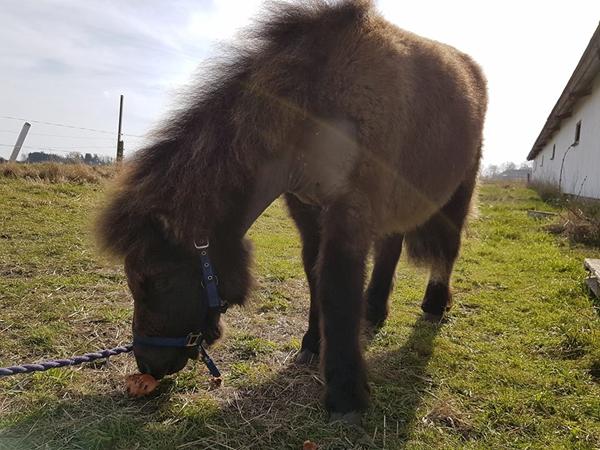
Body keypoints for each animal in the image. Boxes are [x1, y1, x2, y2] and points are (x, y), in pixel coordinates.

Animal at [95, 0, 488, 424]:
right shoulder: (307, 210)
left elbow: (336, 286)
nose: (147, 363)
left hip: (459, 189)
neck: (314, 110)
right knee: (391, 247)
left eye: (158, 281)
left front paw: (346, 394)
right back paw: (374, 310)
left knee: (448, 247)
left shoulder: (350, 211)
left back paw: (434, 304)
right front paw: (313, 343)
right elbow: (314, 275)